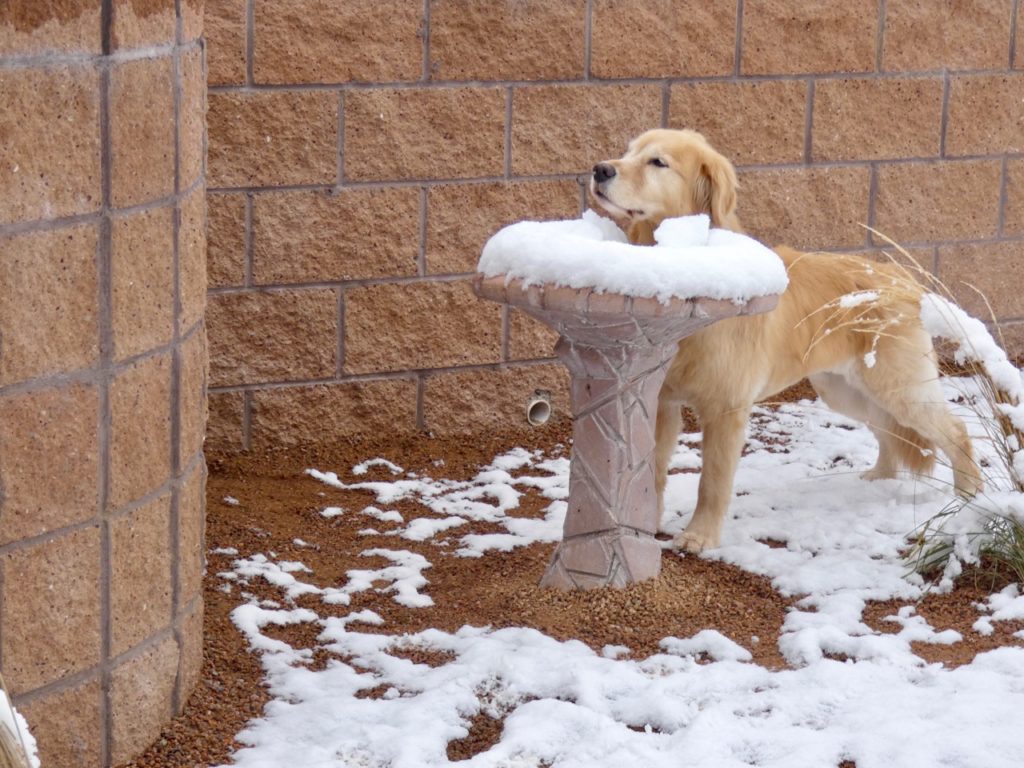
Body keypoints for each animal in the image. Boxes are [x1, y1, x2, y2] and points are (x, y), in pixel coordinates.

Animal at [593, 131, 983, 552]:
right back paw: (878, 479)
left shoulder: (727, 409)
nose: (599, 170)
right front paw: (644, 526)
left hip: (898, 388)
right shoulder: (661, 400)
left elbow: (712, 482)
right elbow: (653, 473)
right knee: (888, 432)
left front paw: (700, 536)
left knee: (954, 430)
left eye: (657, 162)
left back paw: (969, 496)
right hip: (847, 392)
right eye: (628, 152)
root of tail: (903, 278)